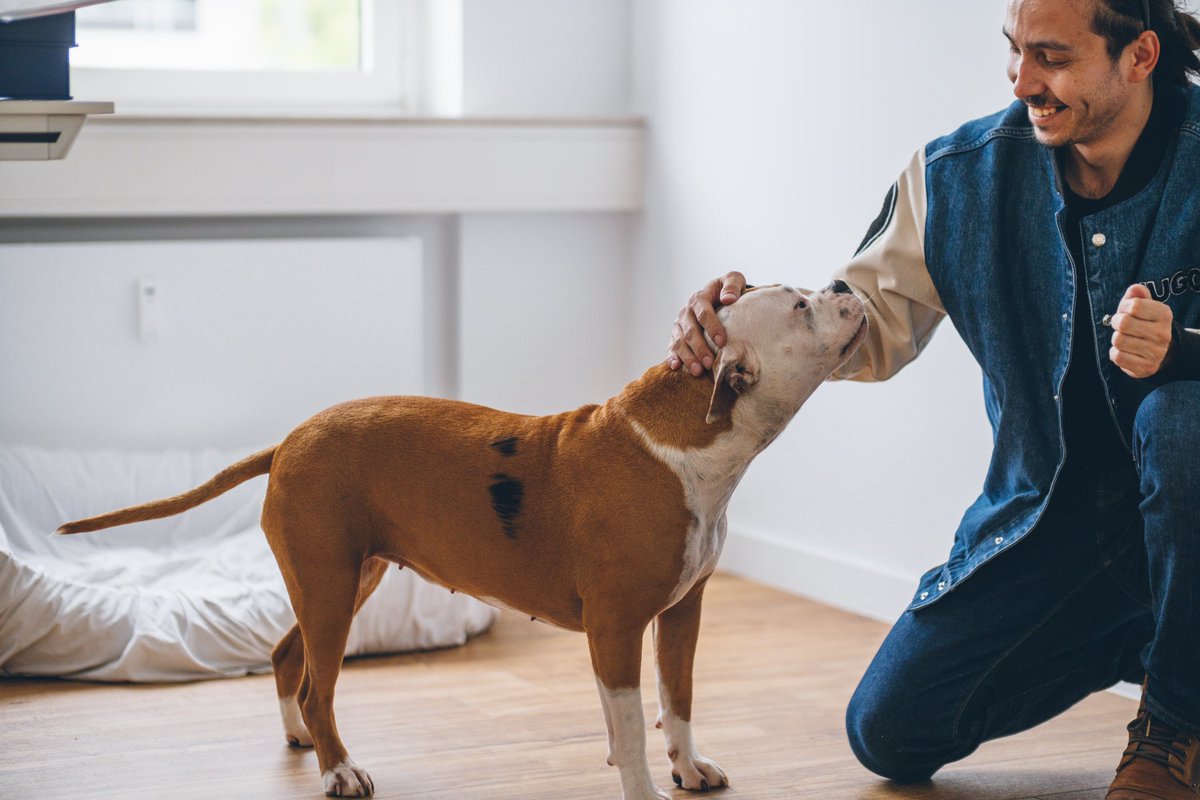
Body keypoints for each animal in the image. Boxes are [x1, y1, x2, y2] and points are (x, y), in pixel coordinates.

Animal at [58, 281, 864, 796]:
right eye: (800, 306)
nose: (841, 284)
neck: (685, 431)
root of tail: (289, 439)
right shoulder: (616, 628)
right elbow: (633, 722)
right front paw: (642, 787)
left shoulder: (681, 614)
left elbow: (679, 700)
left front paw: (688, 767)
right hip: (330, 589)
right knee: (320, 687)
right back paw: (338, 768)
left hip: (342, 581)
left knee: (288, 657)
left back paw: (305, 742)